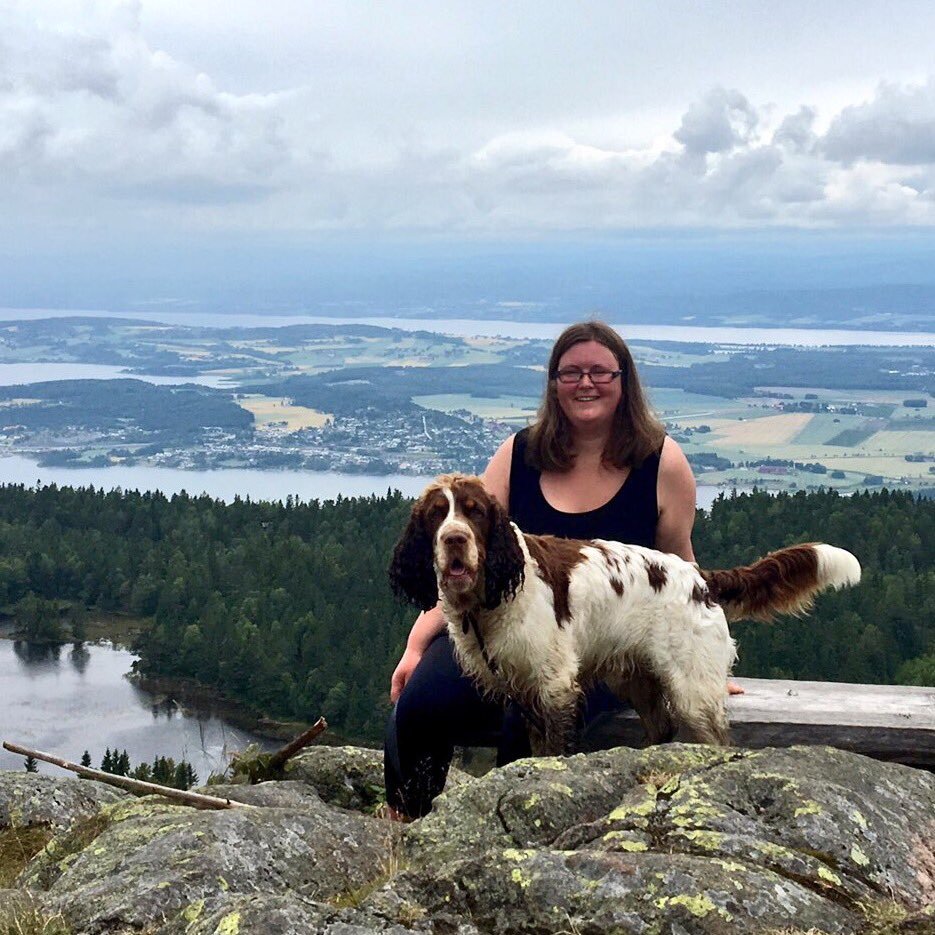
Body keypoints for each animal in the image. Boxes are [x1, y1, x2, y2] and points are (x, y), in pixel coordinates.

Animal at [390, 476, 864, 752]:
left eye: (475, 512)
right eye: (436, 515)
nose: (454, 539)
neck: (489, 599)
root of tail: (699, 577)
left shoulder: (553, 682)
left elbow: (553, 745)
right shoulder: (522, 685)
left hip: (692, 689)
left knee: (710, 737)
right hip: (636, 677)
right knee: (661, 727)